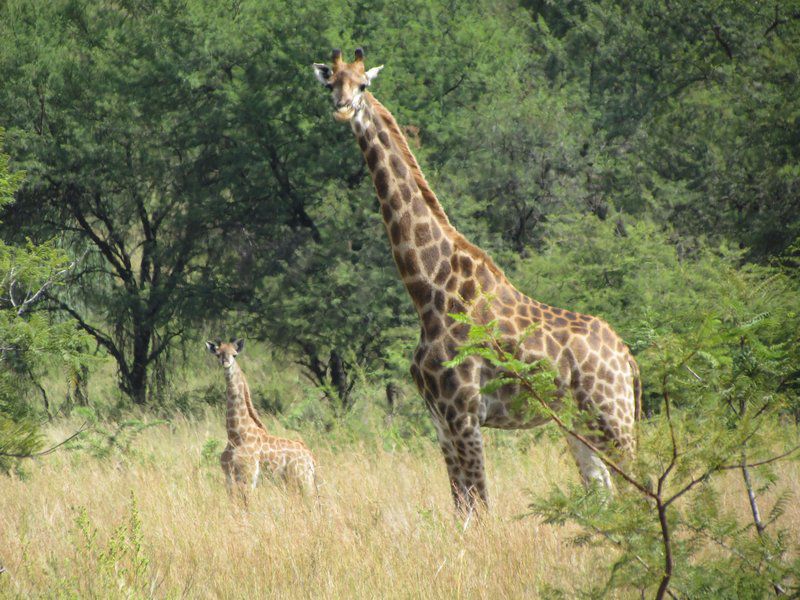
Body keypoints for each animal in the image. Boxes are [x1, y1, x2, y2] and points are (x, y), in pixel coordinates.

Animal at [205, 340, 318, 500]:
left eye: (235, 354)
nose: (226, 363)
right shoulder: (228, 476)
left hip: (302, 479)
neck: (235, 434)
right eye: (218, 354)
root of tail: (310, 457)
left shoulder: (249, 476)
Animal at [310, 48, 640, 516]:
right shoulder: (439, 418)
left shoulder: (464, 413)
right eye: (331, 82)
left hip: (612, 416)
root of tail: (627, 358)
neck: (428, 289)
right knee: (605, 495)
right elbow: (462, 510)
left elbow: (481, 507)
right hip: (578, 424)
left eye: (363, 85)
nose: (342, 108)